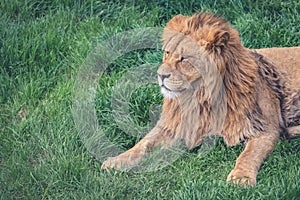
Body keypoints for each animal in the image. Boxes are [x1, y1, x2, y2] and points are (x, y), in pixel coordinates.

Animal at [101, 11, 300, 187]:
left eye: (184, 59)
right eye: (167, 53)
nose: (160, 75)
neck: (198, 97)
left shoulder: (266, 127)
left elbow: (249, 155)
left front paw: (240, 178)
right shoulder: (173, 124)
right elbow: (143, 143)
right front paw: (116, 161)